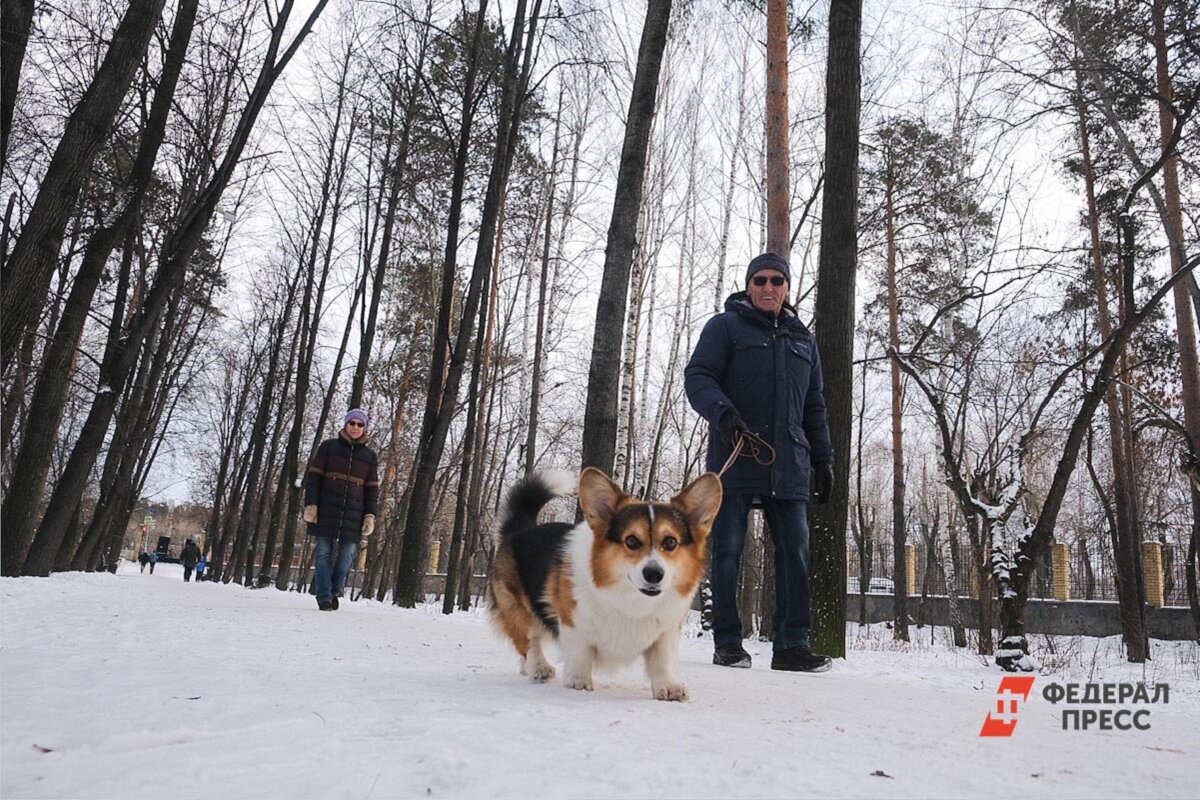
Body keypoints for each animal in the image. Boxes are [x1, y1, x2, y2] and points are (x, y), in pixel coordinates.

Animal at [487, 470, 720, 700]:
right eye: (631, 541)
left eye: (670, 542)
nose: (654, 574)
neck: (633, 601)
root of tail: (518, 531)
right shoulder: (572, 621)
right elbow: (580, 654)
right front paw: (578, 682)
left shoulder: (666, 631)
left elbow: (662, 660)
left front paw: (669, 687)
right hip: (517, 607)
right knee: (530, 640)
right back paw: (538, 668)